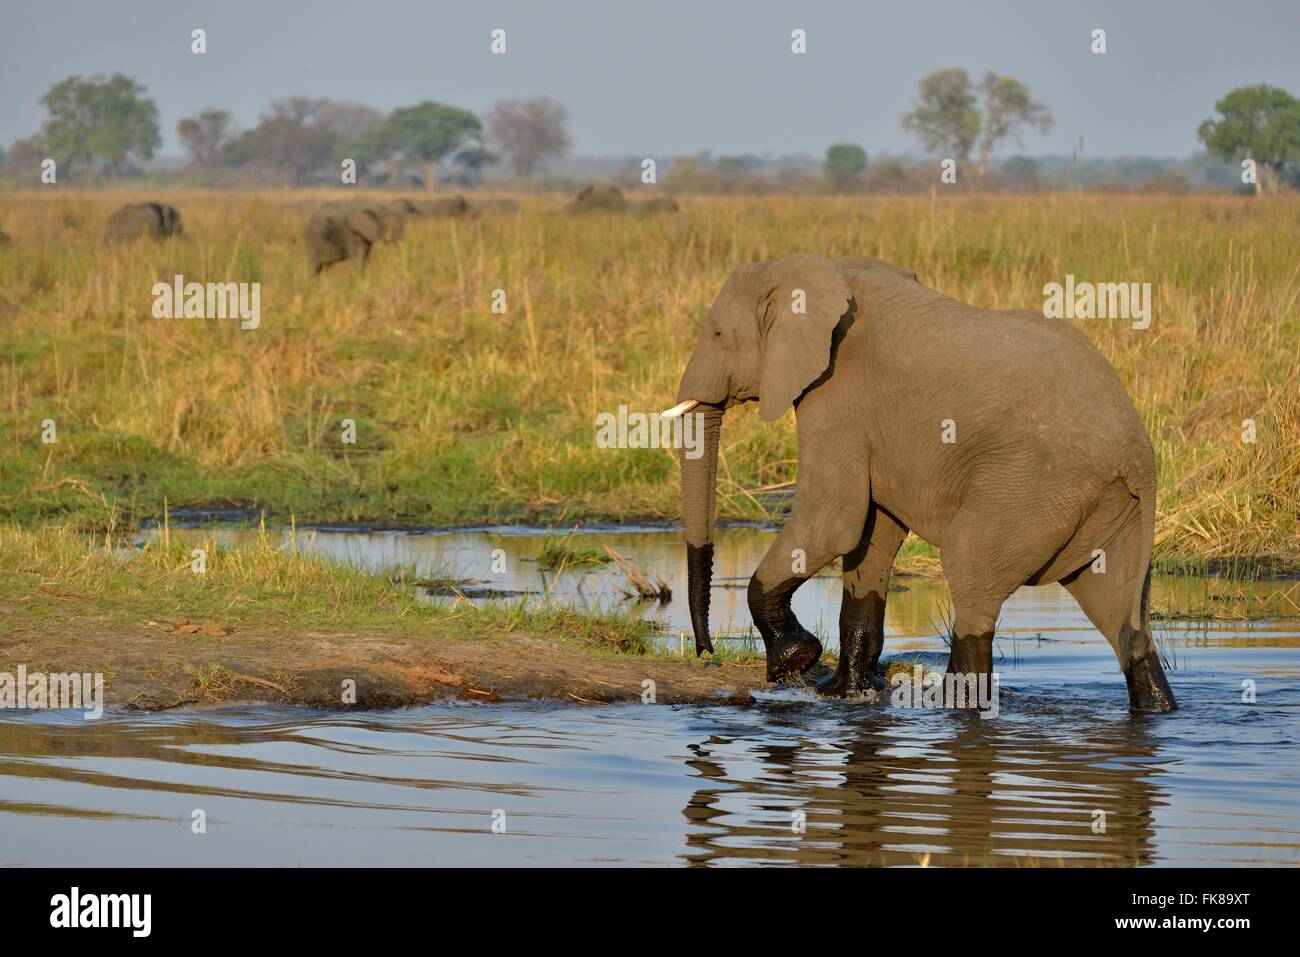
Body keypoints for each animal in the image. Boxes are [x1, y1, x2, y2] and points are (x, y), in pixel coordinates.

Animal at [670, 250, 1180, 712]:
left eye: (717, 334)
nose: (705, 652)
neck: (821, 268)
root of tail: (1138, 455)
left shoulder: (835, 394)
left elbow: (833, 520)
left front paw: (792, 663)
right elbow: (872, 536)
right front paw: (844, 695)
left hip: (1033, 490)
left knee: (971, 576)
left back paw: (952, 705)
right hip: (1113, 508)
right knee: (1122, 618)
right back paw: (1157, 705)